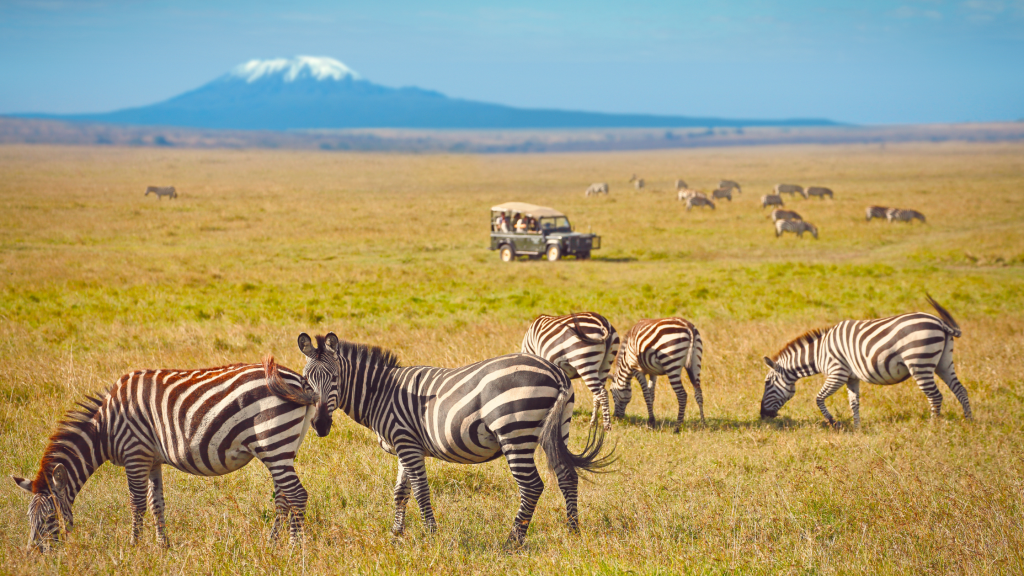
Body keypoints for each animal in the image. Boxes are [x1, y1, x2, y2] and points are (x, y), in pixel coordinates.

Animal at [11, 356, 323, 549]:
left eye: (49, 519)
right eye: (28, 519)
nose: (33, 554)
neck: (105, 428)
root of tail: (300, 380)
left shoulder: (135, 454)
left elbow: (136, 503)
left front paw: (134, 546)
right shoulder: (151, 460)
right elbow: (155, 503)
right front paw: (163, 545)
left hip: (273, 440)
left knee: (297, 495)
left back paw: (294, 548)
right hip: (283, 446)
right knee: (283, 497)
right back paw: (273, 543)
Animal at [299, 332, 614, 541]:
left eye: (335, 379)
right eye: (306, 381)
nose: (320, 425)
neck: (382, 393)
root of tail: (555, 372)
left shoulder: (407, 443)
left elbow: (420, 491)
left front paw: (430, 535)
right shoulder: (404, 446)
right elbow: (400, 492)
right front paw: (396, 535)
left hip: (515, 432)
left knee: (532, 486)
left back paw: (513, 541)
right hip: (557, 430)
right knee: (566, 475)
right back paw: (573, 530)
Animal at [757, 295, 970, 426]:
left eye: (767, 383)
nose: (762, 415)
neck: (818, 354)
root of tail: (940, 322)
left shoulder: (837, 373)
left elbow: (818, 398)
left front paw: (834, 423)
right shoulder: (851, 377)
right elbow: (854, 403)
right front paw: (857, 427)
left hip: (920, 363)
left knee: (935, 396)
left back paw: (932, 426)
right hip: (943, 363)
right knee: (960, 390)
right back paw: (969, 421)